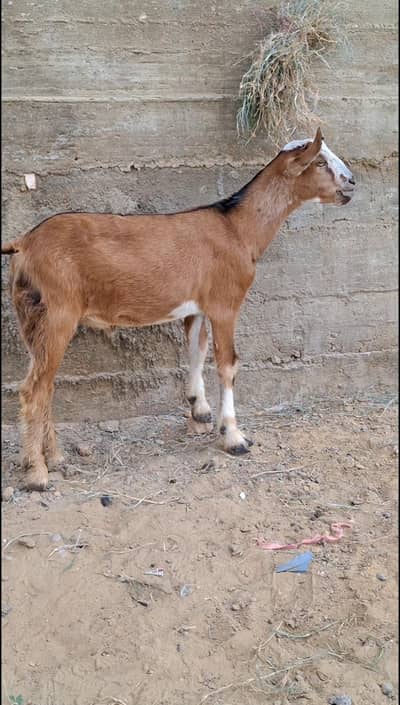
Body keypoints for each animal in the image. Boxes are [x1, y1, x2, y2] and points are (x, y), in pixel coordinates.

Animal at [1, 128, 355, 491]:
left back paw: (56, 458)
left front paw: (200, 410)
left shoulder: (196, 307)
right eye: (319, 161)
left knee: (45, 384)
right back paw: (37, 472)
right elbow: (228, 364)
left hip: (31, 317)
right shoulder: (225, 303)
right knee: (34, 388)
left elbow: (196, 351)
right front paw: (234, 437)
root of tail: (23, 244)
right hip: (58, 313)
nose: (351, 183)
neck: (238, 229)